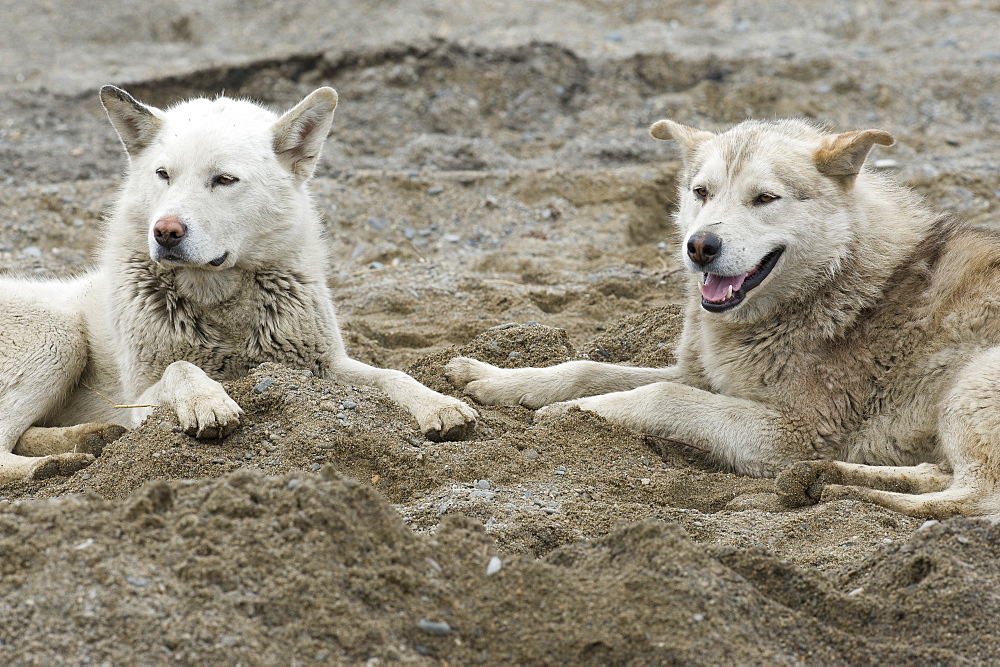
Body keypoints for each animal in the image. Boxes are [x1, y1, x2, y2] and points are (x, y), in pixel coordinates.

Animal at [0, 86, 478, 482]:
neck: (219, 299)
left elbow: (393, 375)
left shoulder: (323, 366)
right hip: (59, 338)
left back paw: (90, 438)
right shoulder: (140, 396)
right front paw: (208, 403)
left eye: (224, 179)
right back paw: (55, 464)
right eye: (163, 174)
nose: (165, 231)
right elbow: (181, 367)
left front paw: (440, 404)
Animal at [452, 117, 1000, 520]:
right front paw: (496, 379)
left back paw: (836, 489)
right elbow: (585, 368)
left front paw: (572, 414)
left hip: (970, 385)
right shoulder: (702, 375)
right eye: (701, 192)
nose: (700, 246)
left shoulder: (791, 431)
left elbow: (660, 397)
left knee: (971, 499)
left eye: (765, 198)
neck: (829, 281)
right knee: (940, 477)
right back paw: (821, 477)